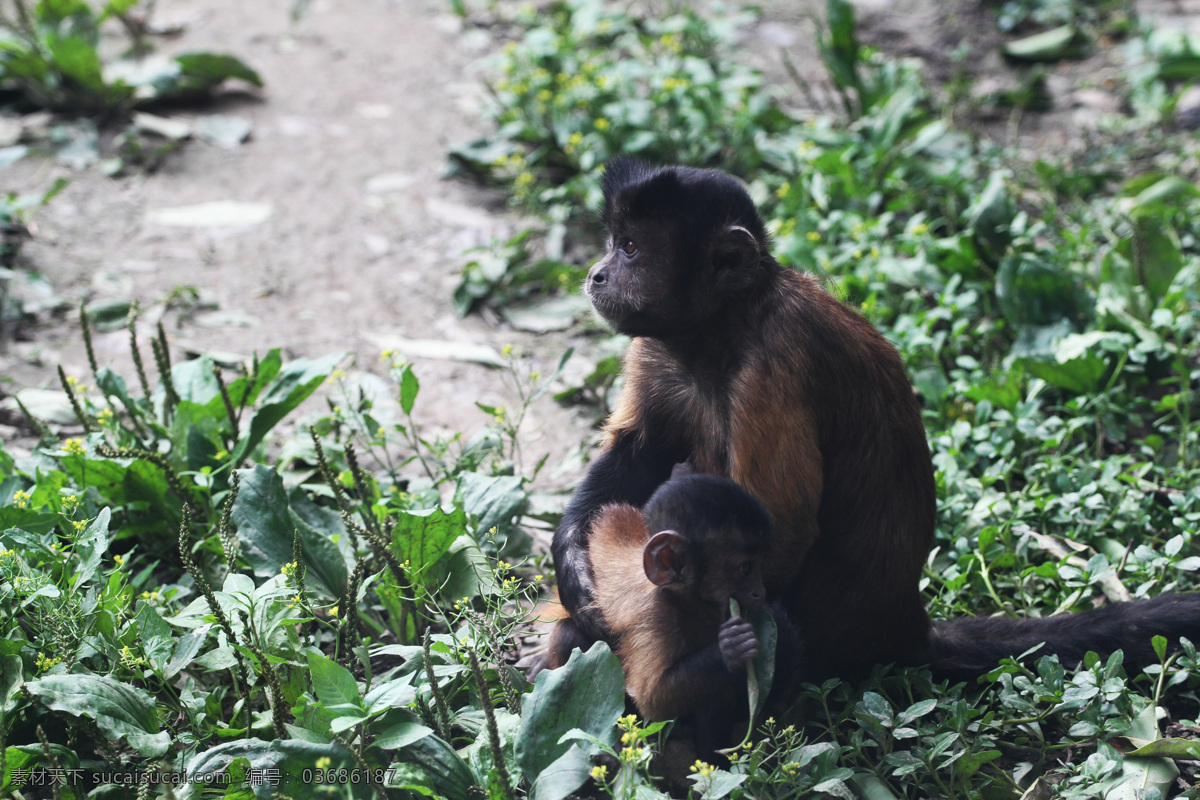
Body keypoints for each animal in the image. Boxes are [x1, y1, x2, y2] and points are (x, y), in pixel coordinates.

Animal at [544, 472, 787, 734]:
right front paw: (731, 647)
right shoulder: (658, 615)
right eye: (746, 569)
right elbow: (653, 699)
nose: (760, 591)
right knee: (570, 636)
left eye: (760, 562)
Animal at [554, 159, 1200, 686]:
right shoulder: (658, 348)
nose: (597, 273)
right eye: (614, 242)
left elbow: (779, 530)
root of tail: (904, 622)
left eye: (631, 248)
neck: (722, 329)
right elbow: (636, 452)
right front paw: (577, 576)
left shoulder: (772, 366)